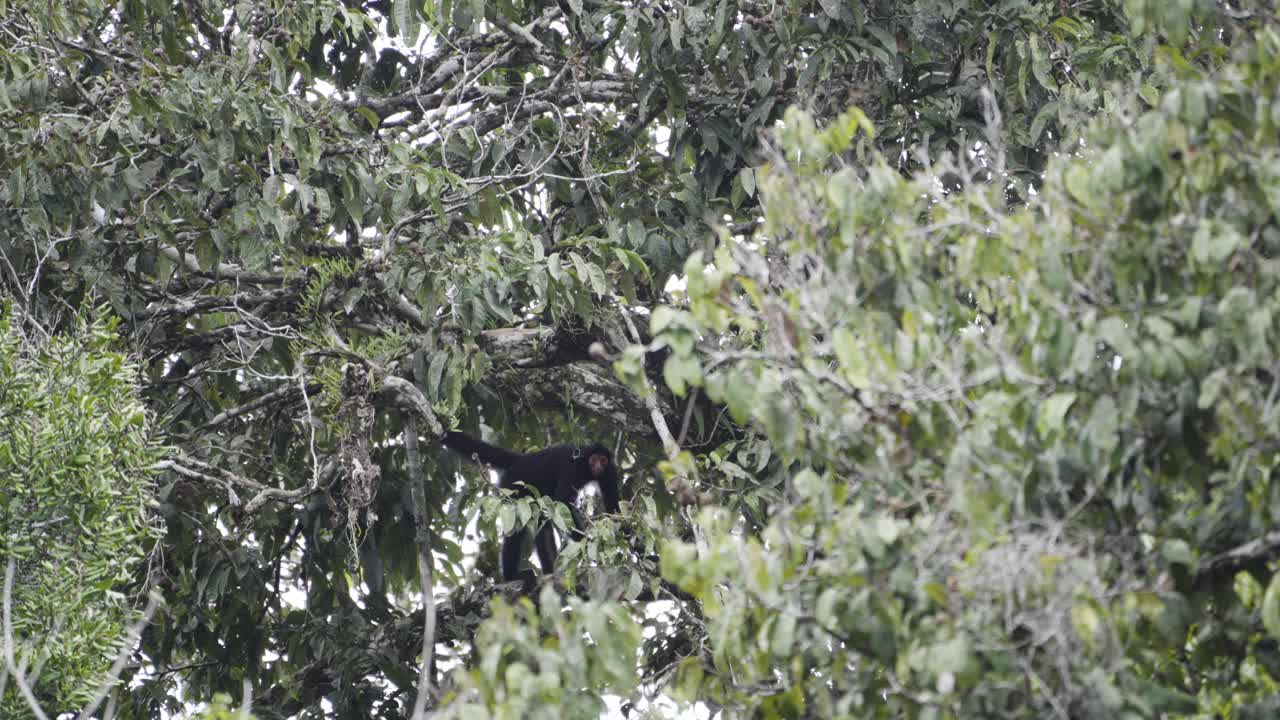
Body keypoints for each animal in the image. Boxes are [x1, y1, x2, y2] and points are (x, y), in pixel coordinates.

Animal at [440, 431, 620, 592]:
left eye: (603, 460)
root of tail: (522, 459)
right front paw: (589, 541)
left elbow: (614, 509)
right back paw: (512, 576)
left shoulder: (610, 471)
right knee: (517, 526)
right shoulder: (573, 468)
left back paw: (549, 572)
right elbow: (562, 502)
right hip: (513, 484)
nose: (598, 466)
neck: (586, 468)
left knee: (542, 523)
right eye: (594, 459)